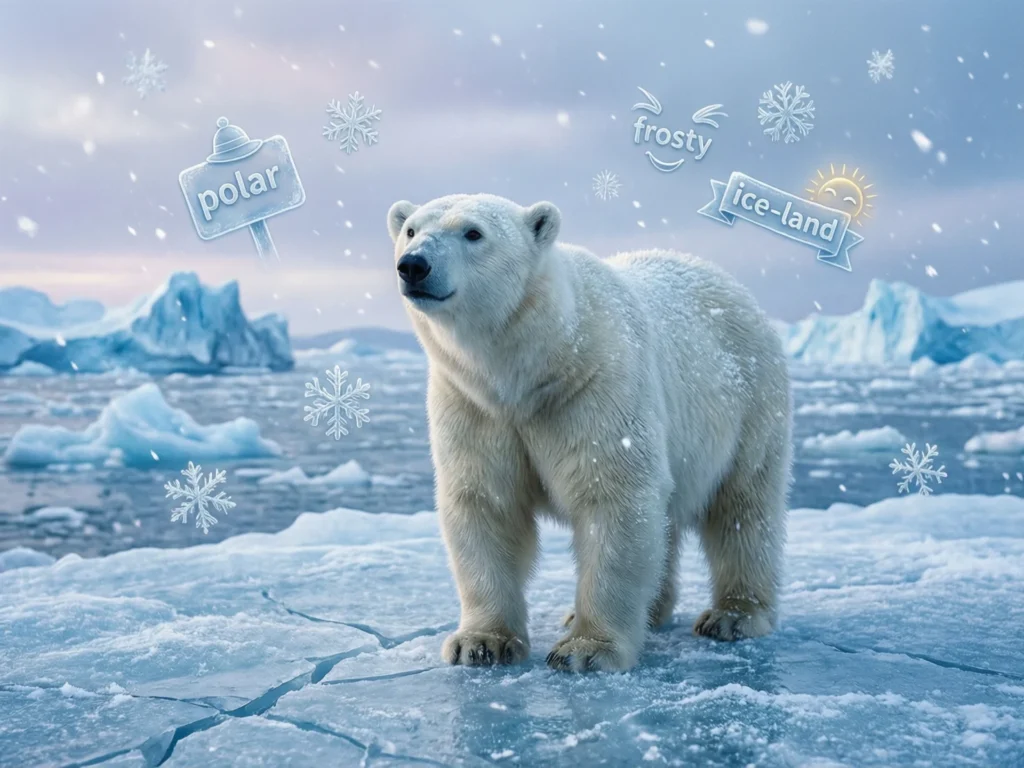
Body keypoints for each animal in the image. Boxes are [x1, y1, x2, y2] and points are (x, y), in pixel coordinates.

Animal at [386, 193, 791, 672]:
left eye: (473, 232)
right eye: (410, 229)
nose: (414, 265)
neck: (530, 369)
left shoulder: (596, 386)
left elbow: (614, 498)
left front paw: (586, 649)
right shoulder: (473, 405)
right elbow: (485, 502)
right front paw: (480, 643)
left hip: (751, 402)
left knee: (743, 506)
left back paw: (733, 616)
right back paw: (652, 609)